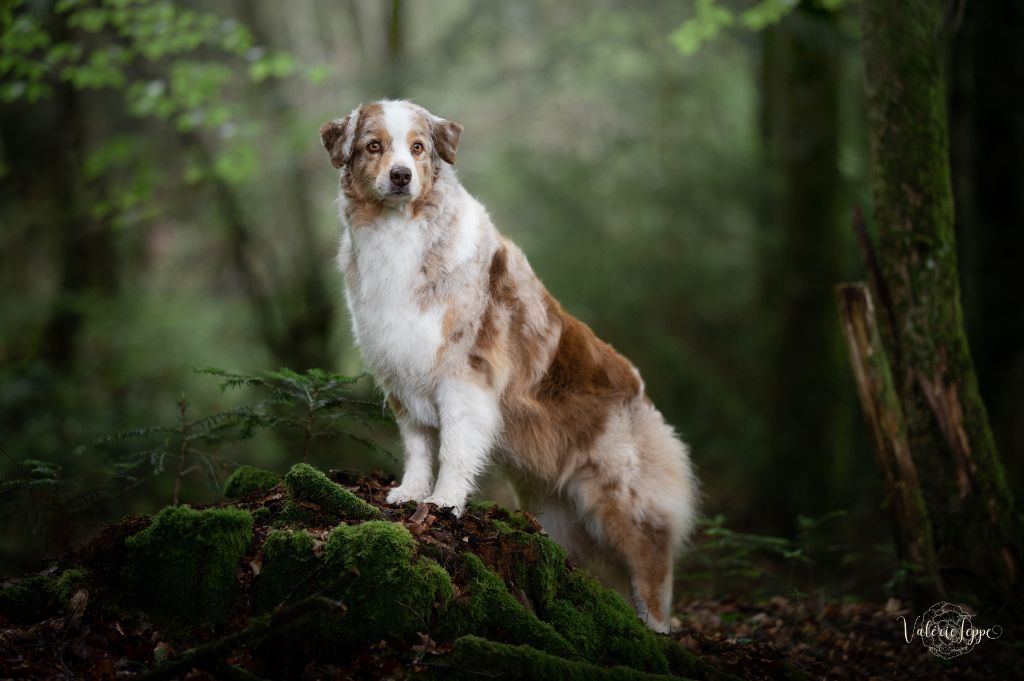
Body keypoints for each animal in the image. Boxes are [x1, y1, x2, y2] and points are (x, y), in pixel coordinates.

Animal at [321, 98, 696, 630]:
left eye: (418, 148)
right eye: (374, 146)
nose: (400, 176)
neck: (400, 232)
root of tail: (639, 391)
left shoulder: (464, 375)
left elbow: (455, 448)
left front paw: (443, 502)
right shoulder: (401, 372)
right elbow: (417, 444)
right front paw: (410, 492)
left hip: (623, 501)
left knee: (652, 567)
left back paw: (655, 628)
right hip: (553, 509)